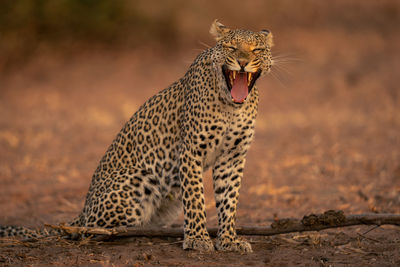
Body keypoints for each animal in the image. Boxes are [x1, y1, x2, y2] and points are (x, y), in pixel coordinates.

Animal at [0, 21, 272, 253]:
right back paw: (120, 234)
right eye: (231, 47)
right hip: (137, 183)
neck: (231, 106)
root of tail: (83, 210)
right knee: (85, 231)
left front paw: (228, 240)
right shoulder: (191, 151)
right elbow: (195, 198)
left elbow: (229, 200)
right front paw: (197, 239)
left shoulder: (233, 157)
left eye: (257, 49)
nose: (242, 62)